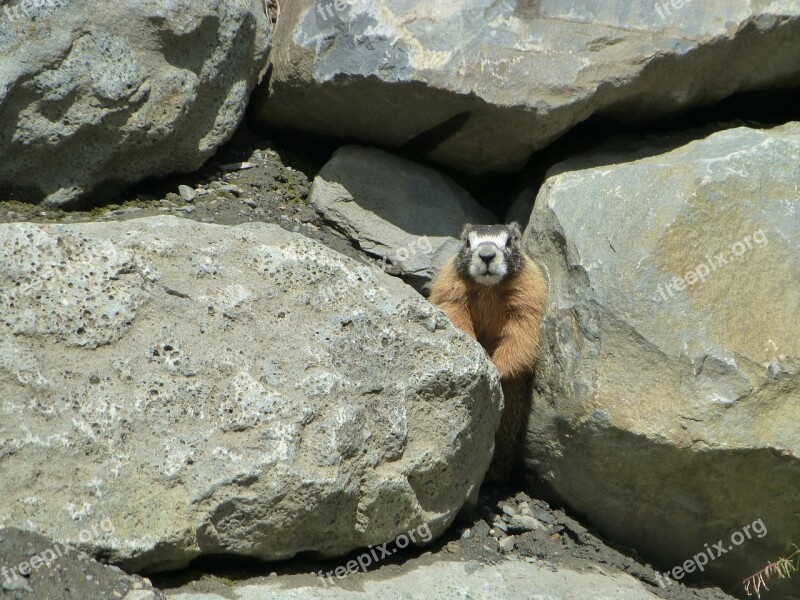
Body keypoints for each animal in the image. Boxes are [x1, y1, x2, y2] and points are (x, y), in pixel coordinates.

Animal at [428, 223, 548, 480]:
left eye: (510, 241)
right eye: (467, 242)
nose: (486, 255)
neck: (488, 289)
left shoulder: (529, 294)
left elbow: (520, 335)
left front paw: (497, 369)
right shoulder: (450, 286)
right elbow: (454, 313)